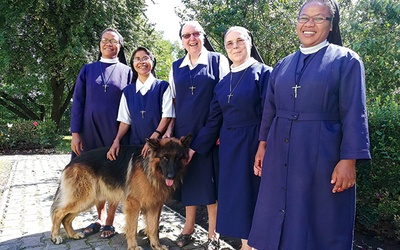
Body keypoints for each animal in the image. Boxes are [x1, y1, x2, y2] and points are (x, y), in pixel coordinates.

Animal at [50, 136, 191, 249]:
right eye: (165, 158)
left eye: (178, 158)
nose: (171, 176)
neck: (150, 170)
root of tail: (71, 163)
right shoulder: (133, 204)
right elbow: (132, 228)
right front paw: (133, 247)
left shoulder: (154, 205)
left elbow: (153, 227)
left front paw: (156, 246)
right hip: (84, 198)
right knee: (58, 213)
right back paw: (55, 236)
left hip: (87, 200)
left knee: (66, 218)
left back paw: (72, 234)